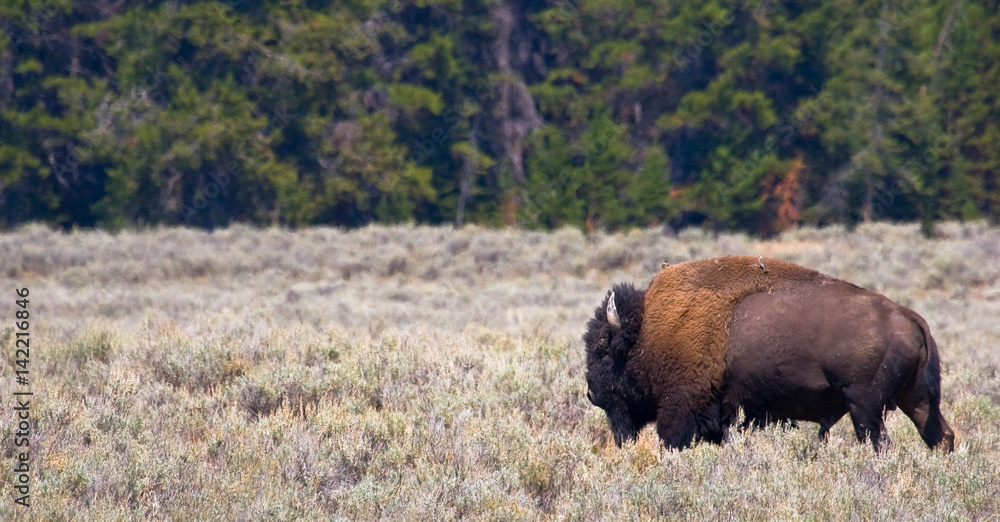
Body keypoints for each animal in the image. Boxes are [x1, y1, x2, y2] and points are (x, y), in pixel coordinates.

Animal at [584, 256, 954, 452]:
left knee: (879, 442)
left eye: (604, 352)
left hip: (865, 405)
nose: (591, 393)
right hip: (916, 398)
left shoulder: (680, 411)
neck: (648, 332)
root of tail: (909, 317)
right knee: (940, 435)